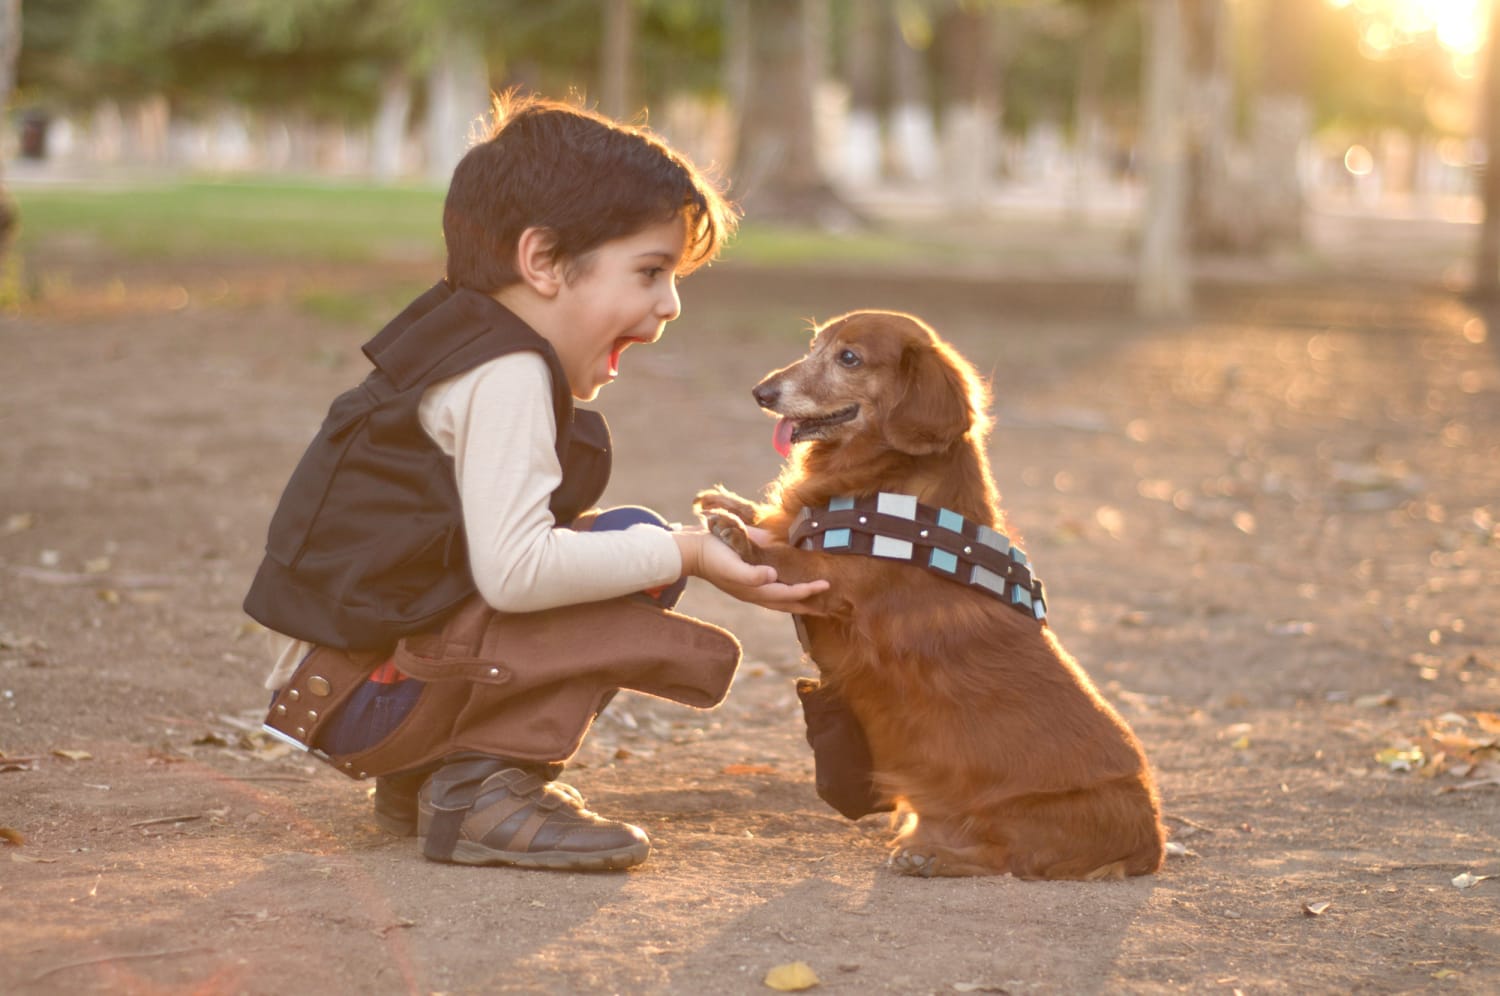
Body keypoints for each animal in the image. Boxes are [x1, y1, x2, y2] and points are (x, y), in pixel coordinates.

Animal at [696, 312, 1164, 882]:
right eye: (814, 345)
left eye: (849, 358)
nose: (762, 392)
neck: (887, 485)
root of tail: (1152, 842)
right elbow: (780, 523)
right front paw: (730, 502)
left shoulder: (833, 583)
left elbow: (783, 556)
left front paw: (734, 533)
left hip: (1020, 812)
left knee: (1004, 859)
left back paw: (931, 857)